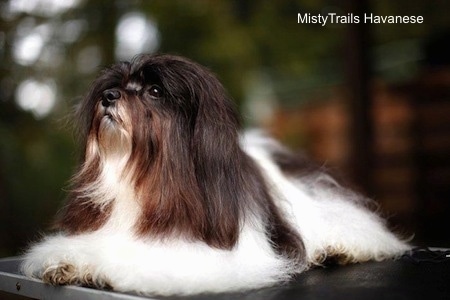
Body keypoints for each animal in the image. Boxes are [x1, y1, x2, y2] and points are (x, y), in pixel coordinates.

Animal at [22, 53, 412, 296]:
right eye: (114, 85)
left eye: (154, 91)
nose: (109, 96)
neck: (144, 179)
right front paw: (67, 261)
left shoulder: (202, 255)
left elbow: (132, 256)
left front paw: (99, 265)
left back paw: (338, 250)